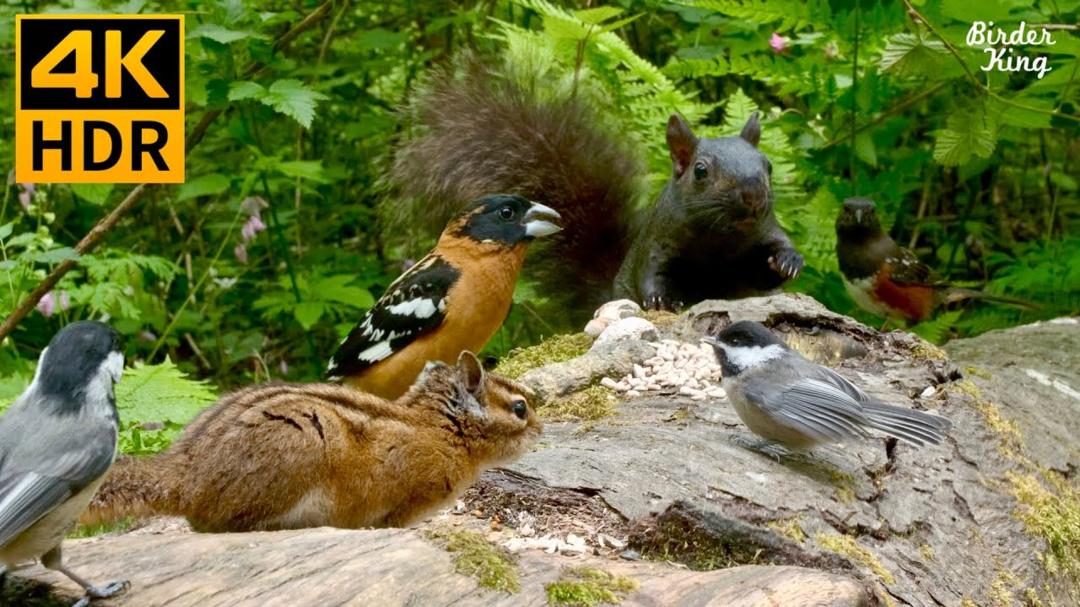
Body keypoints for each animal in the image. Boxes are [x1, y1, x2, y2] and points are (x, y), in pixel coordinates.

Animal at [383, 60, 803, 320]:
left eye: (767, 166)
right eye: (700, 171)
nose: (754, 197)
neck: (721, 239)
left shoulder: (763, 234)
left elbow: (772, 264)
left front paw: (788, 261)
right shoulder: (659, 242)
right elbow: (654, 273)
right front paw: (660, 299)